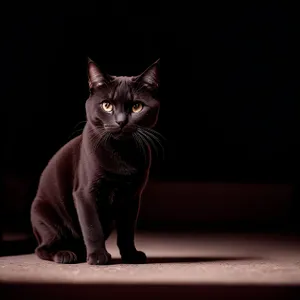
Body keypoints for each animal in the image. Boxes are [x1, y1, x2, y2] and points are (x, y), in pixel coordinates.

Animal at [30, 58, 161, 264]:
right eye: (107, 105)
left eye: (137, 107)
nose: (121, 121)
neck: (121, 152)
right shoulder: (85, 193)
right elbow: (92, 227)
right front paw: (98, 257)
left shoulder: (132, 197)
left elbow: (127, 231)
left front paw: (131, 255)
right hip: (46, 217)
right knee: (42, 248)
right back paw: (66, 254)